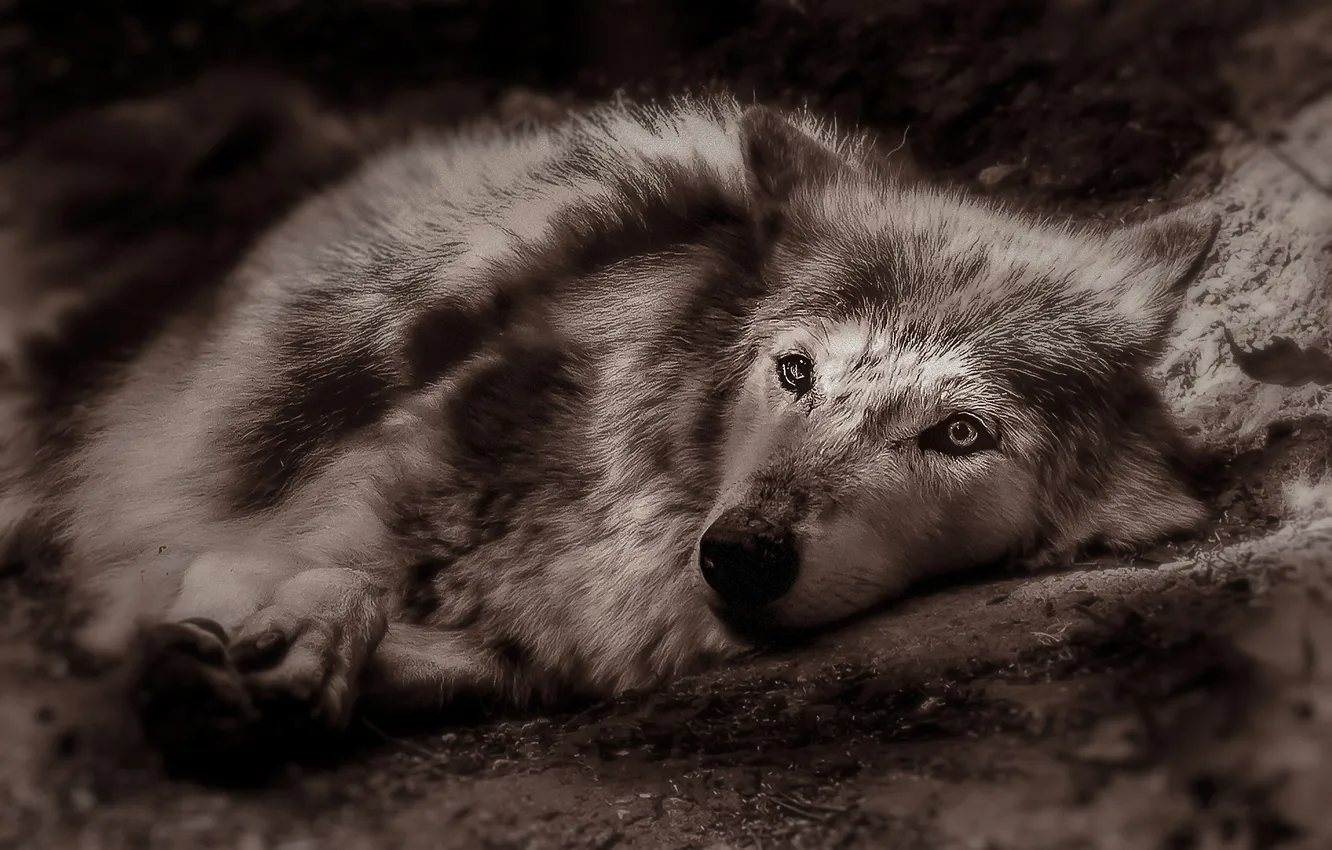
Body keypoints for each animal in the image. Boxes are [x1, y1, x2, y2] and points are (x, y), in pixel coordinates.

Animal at [0, 74, 1219, 776]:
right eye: (795, 371)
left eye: (959, 435)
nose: (740, 553)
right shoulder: (291, 499)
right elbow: (311, 570)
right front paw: (265, 645)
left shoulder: (539, 650)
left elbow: (441, 659)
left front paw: (263, 677)